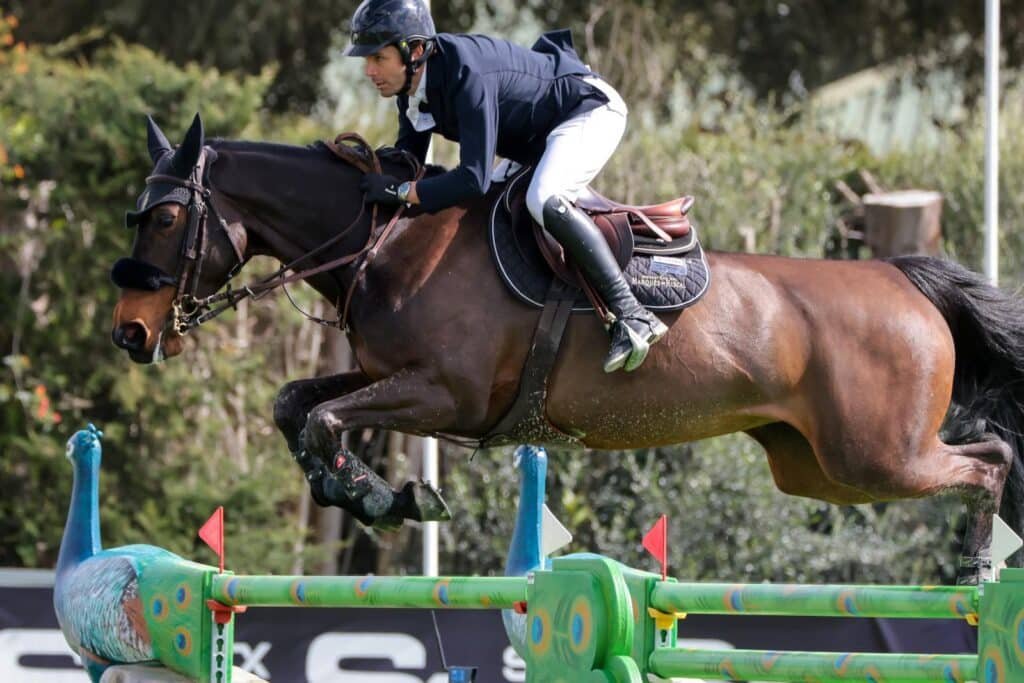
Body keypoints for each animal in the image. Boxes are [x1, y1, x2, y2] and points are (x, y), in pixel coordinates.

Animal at [110, 114, 1024, 583]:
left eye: (166, 215)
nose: (131, 332)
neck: (387, 239)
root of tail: (904, 280)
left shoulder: (444, 394)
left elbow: (325, 420)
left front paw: (387, 495)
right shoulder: (382, 376)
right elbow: (295, 406)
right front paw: (375, 494)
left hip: (876, 453)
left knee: (990, 456)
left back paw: (980, 565)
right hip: (819, 467)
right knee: (977, 453)